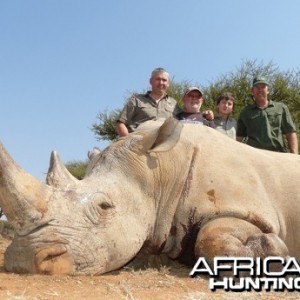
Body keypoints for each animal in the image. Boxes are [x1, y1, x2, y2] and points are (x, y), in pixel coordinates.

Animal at [0, 117, 298, 274]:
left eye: (104, 206)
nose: (23, 262)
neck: (160, 171)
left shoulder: (245, 205)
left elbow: (209, 237)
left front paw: (274, 252)